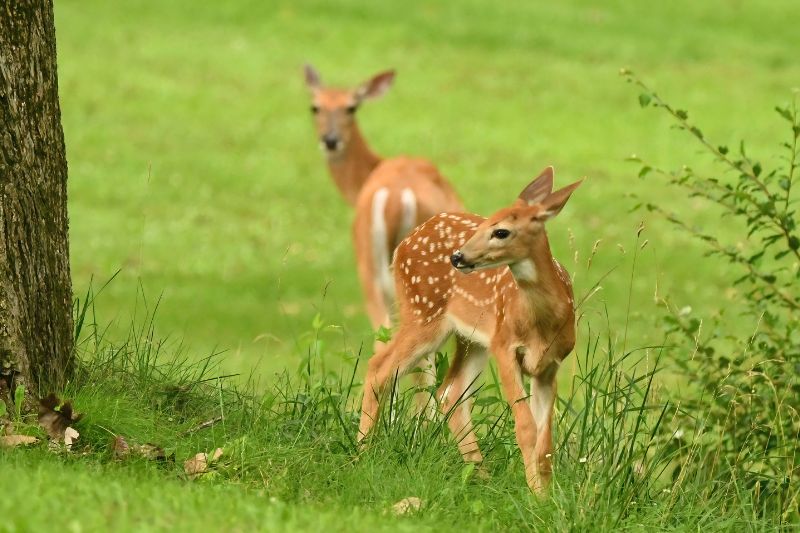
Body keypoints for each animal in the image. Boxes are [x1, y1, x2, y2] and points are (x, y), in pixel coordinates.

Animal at [357, 167, 581, 492]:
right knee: (380, 367)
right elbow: (525, 427)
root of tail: (402, 246)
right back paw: (361, 453)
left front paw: (546, 494)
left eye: (501, 231)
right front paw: (535, 493)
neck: (542, 322)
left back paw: (481, 475)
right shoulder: (504, 345)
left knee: (450, 392)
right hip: (424, 313)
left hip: (471, 338)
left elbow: (545, 441)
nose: (458, 257)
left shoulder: (549, 365)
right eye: (487, 222)